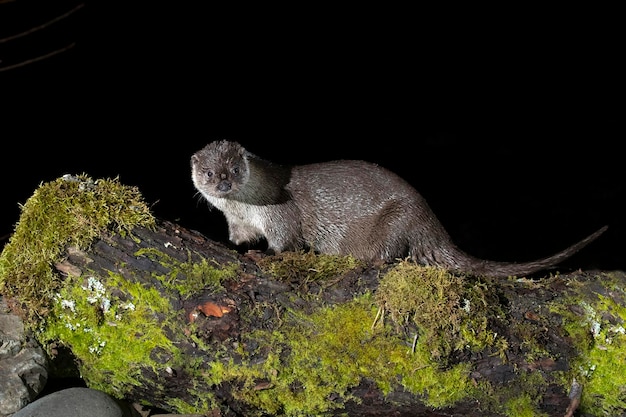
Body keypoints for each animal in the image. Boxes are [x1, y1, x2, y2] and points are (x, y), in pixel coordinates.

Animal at [190, 140, 604, 276]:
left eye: (235, 169)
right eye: (209, 172)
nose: (223, 183)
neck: (247, 208)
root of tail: (431, 222)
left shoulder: (280, 215)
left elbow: (286, 244)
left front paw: (266, 256)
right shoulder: (238, 222)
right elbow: (239, 239)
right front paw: (234, 247)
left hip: (397, 220)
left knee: (390, 254)